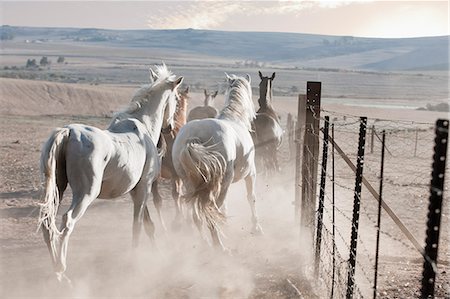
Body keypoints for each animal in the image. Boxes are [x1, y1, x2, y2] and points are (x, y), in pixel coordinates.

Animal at [38, 64, 183, 282]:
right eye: (176, 99)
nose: (170, 127)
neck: (143, 127)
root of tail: (68, 132)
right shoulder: (144, 188)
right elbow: (137, 226)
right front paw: (136, 260)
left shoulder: (136, 191)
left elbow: (148, 224)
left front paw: (157, 253)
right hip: (85, 194)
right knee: (67, 221)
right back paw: (62, 272)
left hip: (58, 189)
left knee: (48, 223)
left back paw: (56, 272)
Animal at [152, 85, 189, 231]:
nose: (167, 128)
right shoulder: (154, 178)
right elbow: (158, 200)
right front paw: (163, 226)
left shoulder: (176, 175)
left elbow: (176, 195)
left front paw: (178, 220)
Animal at [172, 74, 264, 252]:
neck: (235, 118)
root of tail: (192, 138)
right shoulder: (251, 174)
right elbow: (251, 198)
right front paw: (257, 228)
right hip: (222, 183)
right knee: (210, 211)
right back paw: (219, 246)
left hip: (190, 184)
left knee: (197, 215)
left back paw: (205, 243)